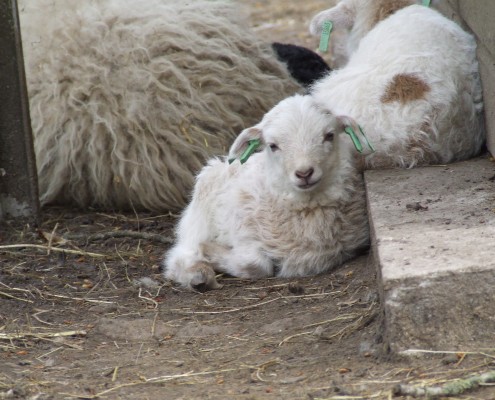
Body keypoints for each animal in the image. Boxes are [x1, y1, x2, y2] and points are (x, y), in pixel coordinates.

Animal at [165, 95, 370, 292]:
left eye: (329, 136)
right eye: (272, 145)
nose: (304, 173)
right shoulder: (242, 227)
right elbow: (257, 264)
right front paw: (209, 251)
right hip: (202, 207)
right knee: (181, 253)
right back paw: (198, 274)